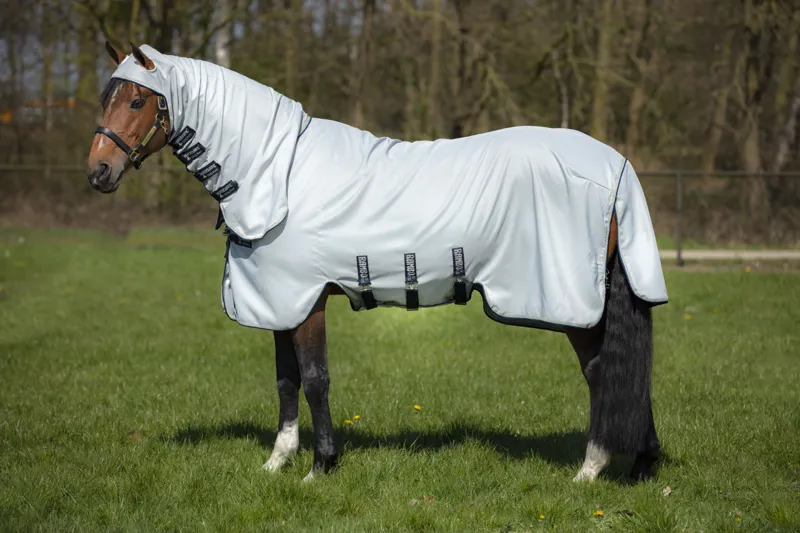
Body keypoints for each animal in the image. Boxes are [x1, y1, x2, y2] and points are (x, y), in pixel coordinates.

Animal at [86, 42, 667, 483]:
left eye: (137, 100)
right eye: (106, 97)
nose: (98, 172)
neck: (277, 174)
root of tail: (614, 164)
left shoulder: (306, 301)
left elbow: (315, 378)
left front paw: (320, 466)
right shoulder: (279, 301)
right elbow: (285, 380)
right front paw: (277, 461)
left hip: (576, 305)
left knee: (602, 372)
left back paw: (593, 469)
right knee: (623, 374)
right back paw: (640, 464)